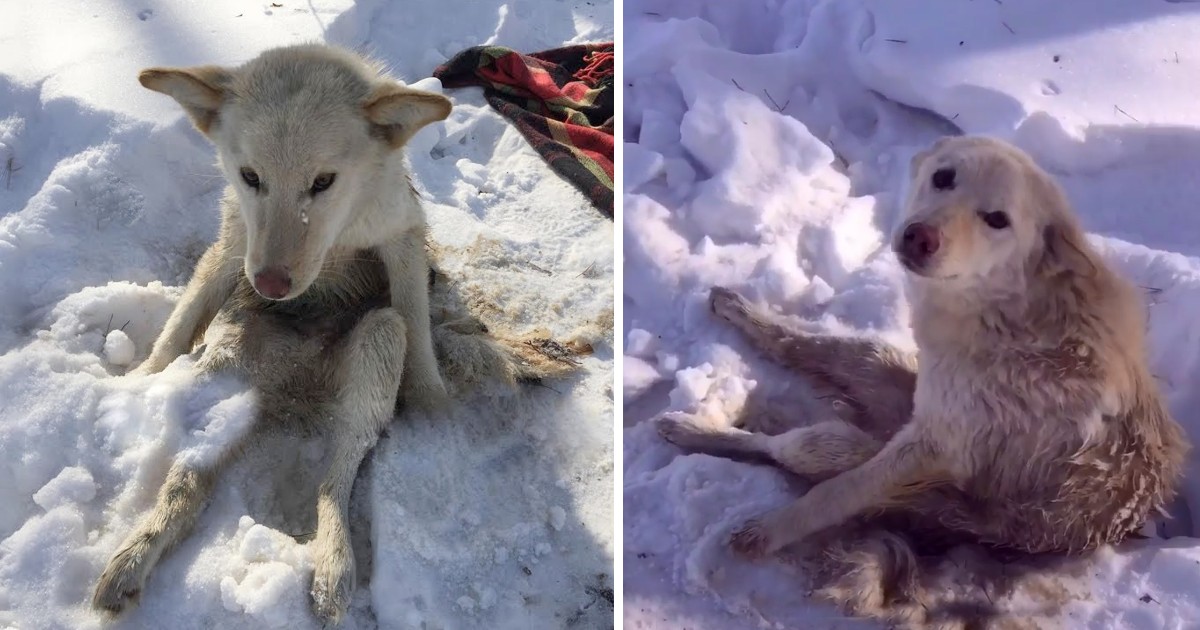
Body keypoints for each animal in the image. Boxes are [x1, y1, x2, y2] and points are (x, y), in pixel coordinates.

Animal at [93, 45, 580, 624]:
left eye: (323, 181)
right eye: (251, 176)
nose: (271, 284)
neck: (340, 231)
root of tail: (291, 393)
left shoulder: (402, 244)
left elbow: (418, 325)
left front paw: (432, 405)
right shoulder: (234, 245)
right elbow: (184, 318)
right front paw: (144, 379)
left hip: (378, 342)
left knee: (336, 475)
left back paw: (333, 564)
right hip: (227, 362)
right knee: (187, 482)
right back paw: (134, 556)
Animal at [657, 133, 1190, 624]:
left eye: (997, 219)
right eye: (944, 177)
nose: (920, 237)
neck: (1012, 314)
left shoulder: (928, 448)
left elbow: (831, 496)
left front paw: (770, 533)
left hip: (882, 457)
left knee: (790, 451)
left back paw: (702, 442)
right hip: (885, 373)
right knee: (803, 350)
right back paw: (724, 341)